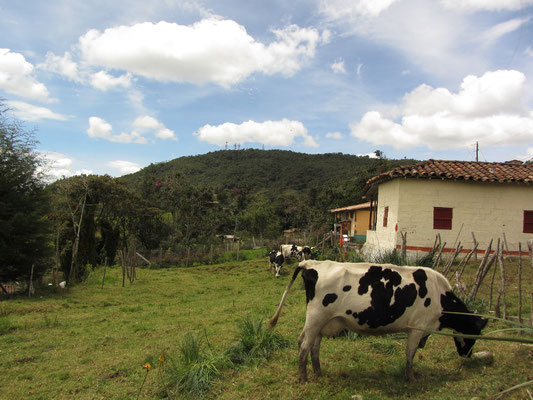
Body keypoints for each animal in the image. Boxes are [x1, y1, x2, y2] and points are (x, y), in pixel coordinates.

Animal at [270, 260, 486, 382]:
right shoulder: (417, 328)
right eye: (475, 335)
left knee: (313, 346)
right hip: (316, 317)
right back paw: (303, 378)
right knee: (304, 345)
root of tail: (312, 264)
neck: (439, 296)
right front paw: (411, 378)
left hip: (322, 322)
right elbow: (410, 354)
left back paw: (318, 374)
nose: (467, 355)